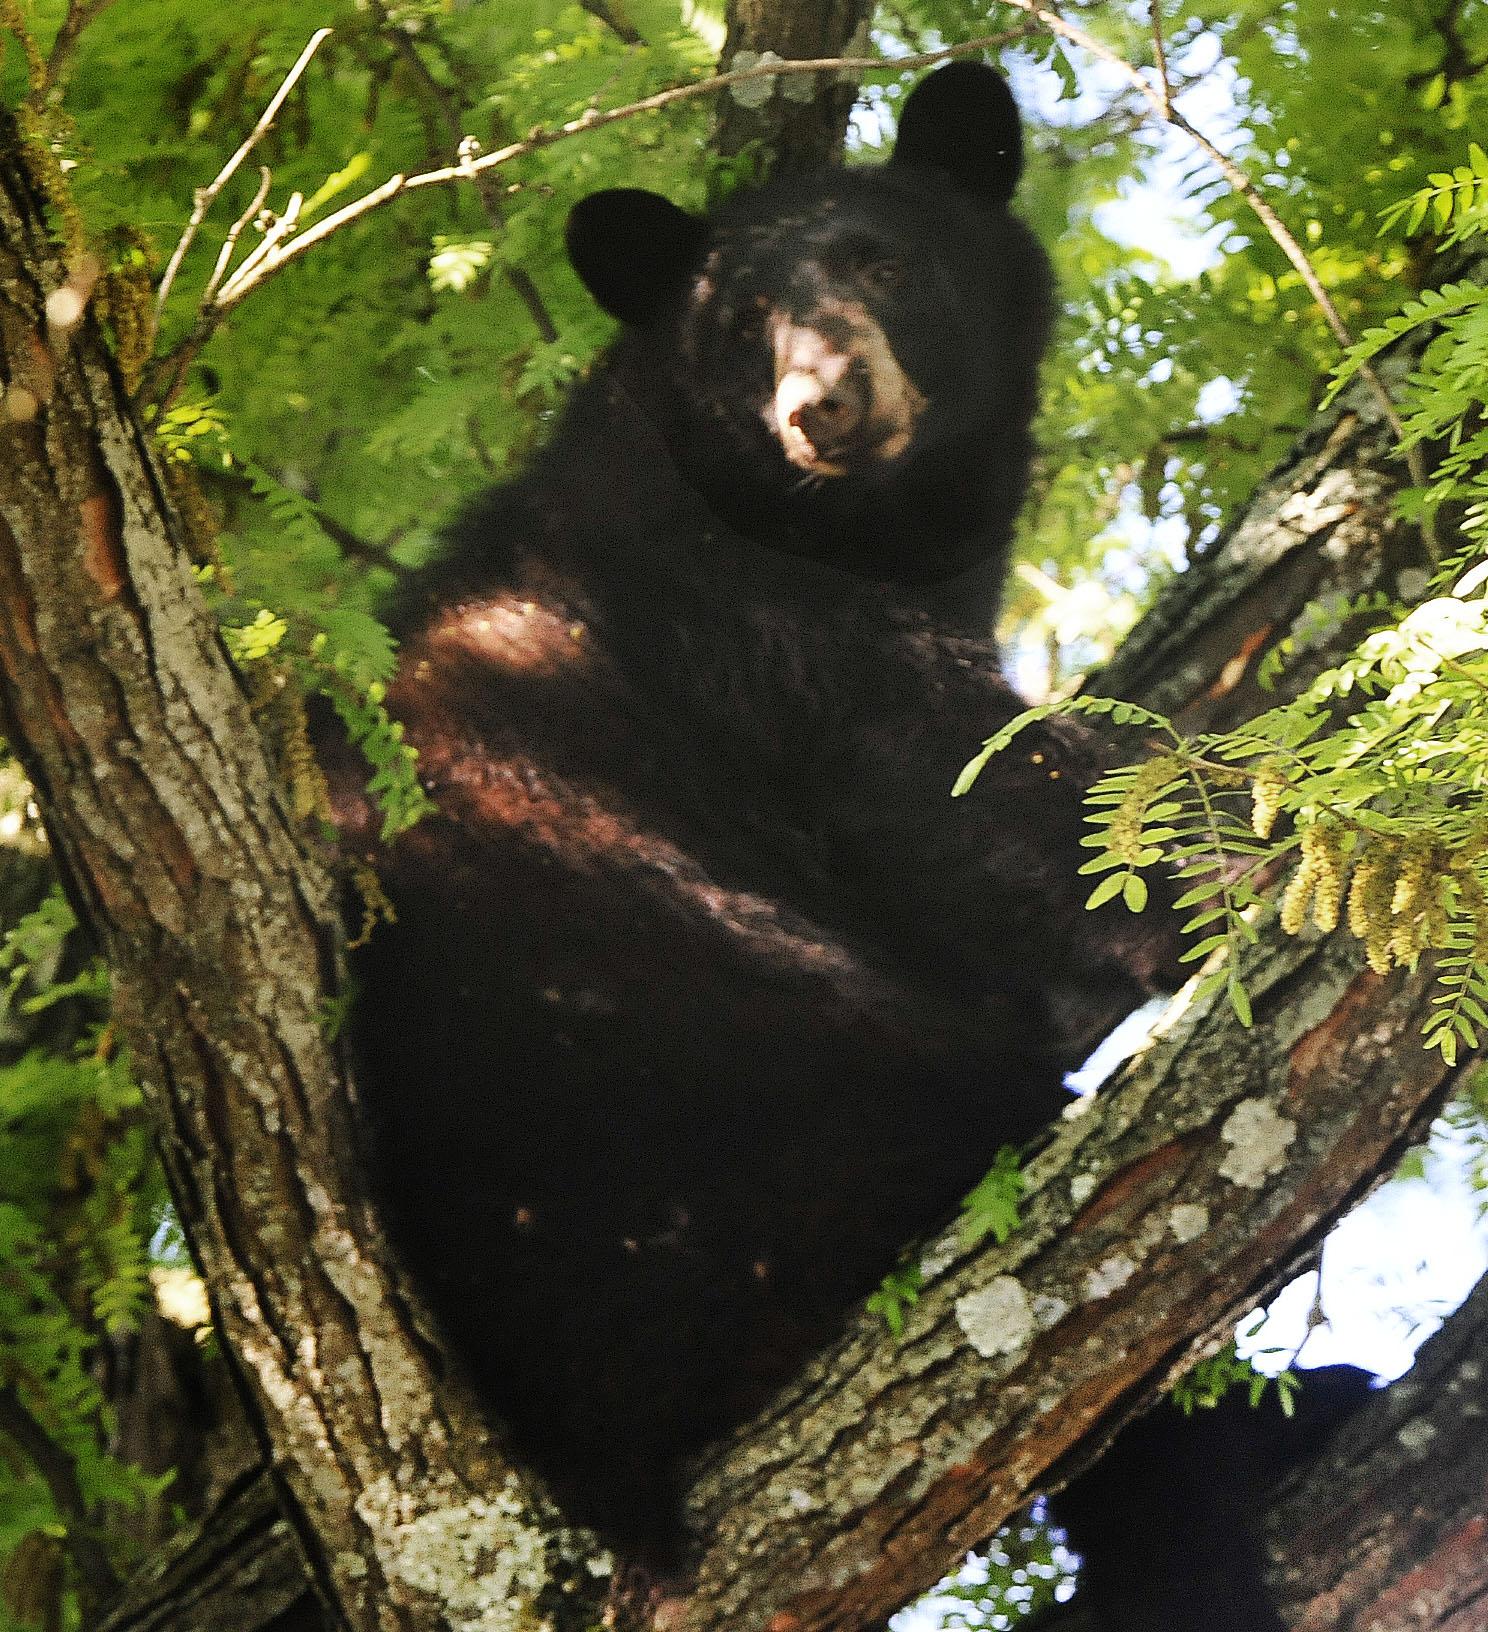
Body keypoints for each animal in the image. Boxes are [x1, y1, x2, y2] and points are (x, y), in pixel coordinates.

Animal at [322, 61, 1179, 1562]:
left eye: (882, 261)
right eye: (739, 326)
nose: (821, 405)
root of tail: (606, 1462)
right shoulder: (749, 636)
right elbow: (955, 787)